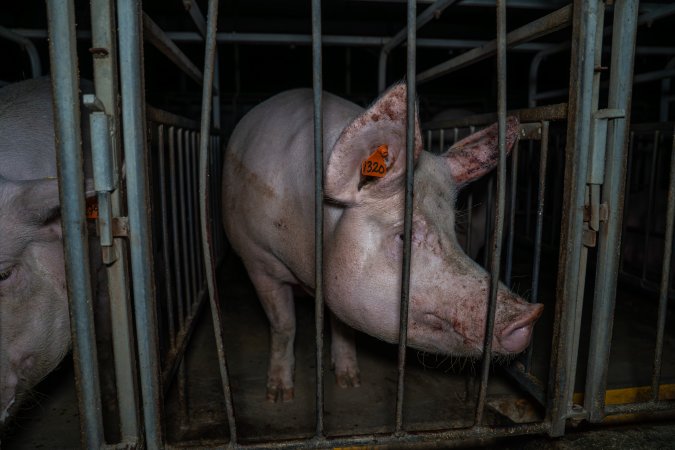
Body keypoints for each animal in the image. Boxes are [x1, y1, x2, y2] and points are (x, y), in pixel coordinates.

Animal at [222, 83, 544, 400]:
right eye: (404, 235)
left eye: (454, 228)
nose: (529, 316)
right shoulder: (257, 259)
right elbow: (284, 325)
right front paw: (279, 395)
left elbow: (342, 325)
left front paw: (349, 381)